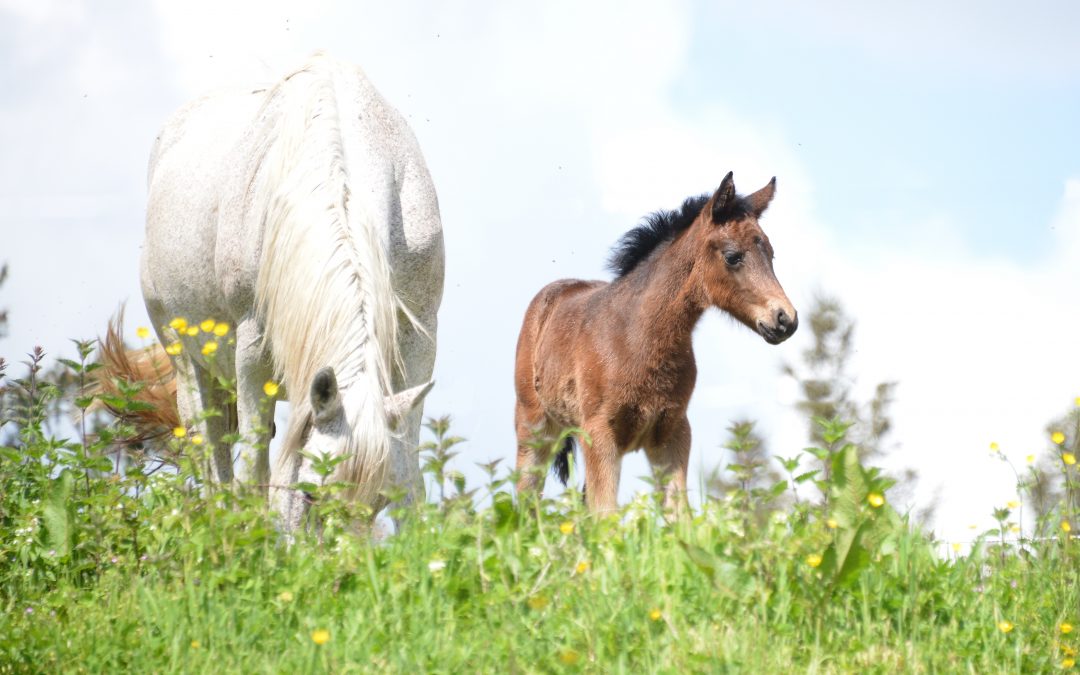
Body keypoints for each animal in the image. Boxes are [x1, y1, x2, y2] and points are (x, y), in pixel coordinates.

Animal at [129, 51, 442, 527]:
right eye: (312, 494)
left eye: (377, 504)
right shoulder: (253, 349)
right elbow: (254, 469)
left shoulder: (418, 341)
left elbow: (410, 476)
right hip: (186, 356)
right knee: (211, 451)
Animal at [509, 172, 799, 509]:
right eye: (732, 257)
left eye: (771, 254)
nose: (786, 319)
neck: (638, 338)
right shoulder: (599, 434)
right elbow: (607, 512)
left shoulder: (672, 434)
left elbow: (679, 513)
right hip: (534, 429)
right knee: (526, 499)